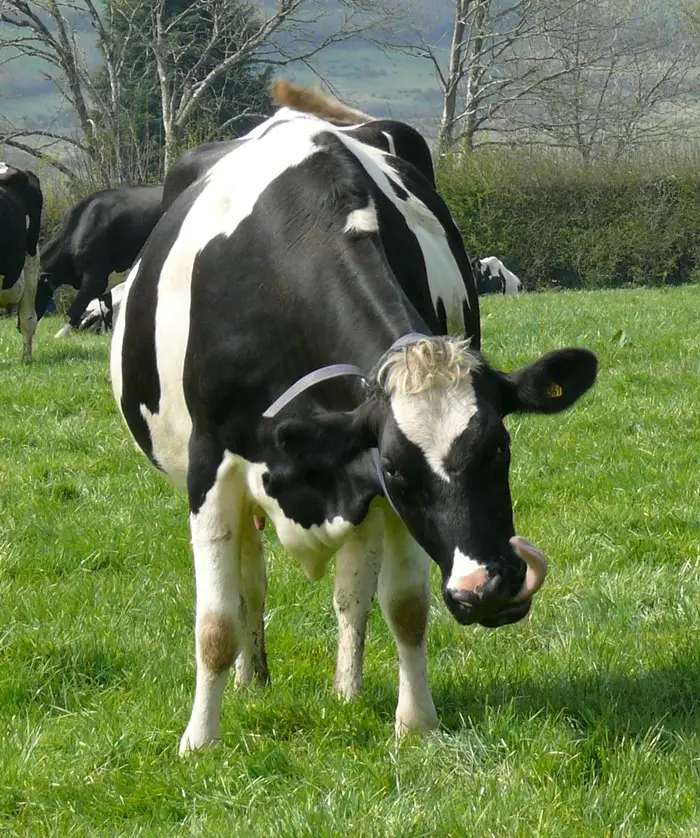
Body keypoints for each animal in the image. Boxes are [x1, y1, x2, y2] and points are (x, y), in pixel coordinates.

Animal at [110, 82, 597, 753]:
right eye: (397, 470)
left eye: (499, 448)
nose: (489, 591)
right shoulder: (211, 471)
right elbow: (214, 624)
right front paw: (200, 741)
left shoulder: (368, 484)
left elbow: (404, 607)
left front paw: (415, 722)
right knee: (250, 582)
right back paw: (252, 679)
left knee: (351, 593)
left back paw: (346, 686)